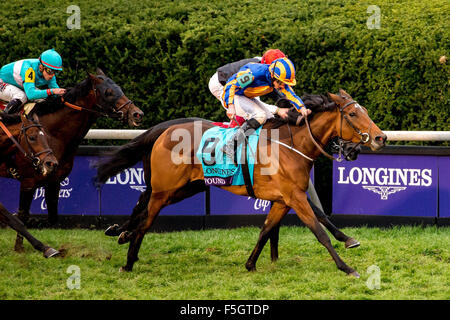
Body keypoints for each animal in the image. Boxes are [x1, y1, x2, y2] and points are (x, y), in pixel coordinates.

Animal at [0, 112, 59, 258]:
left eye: (46, 137)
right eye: (32, 137)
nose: (52, 164)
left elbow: (16, 221)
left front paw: (46, 248)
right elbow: (14, 219)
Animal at [96, 89, 384, 276]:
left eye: (365, 112)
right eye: (353, 115)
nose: (380, 137)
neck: (292, 145)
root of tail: (163, 130)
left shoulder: (284, 200)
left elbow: (266, 230)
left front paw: (251, 264)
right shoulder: (295, 197)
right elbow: (319, 230)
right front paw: (346, 267)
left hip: (185, 188)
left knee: (142, 206)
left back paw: (122, 235)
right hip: (165, 191)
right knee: (146, 220)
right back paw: (128, 261)